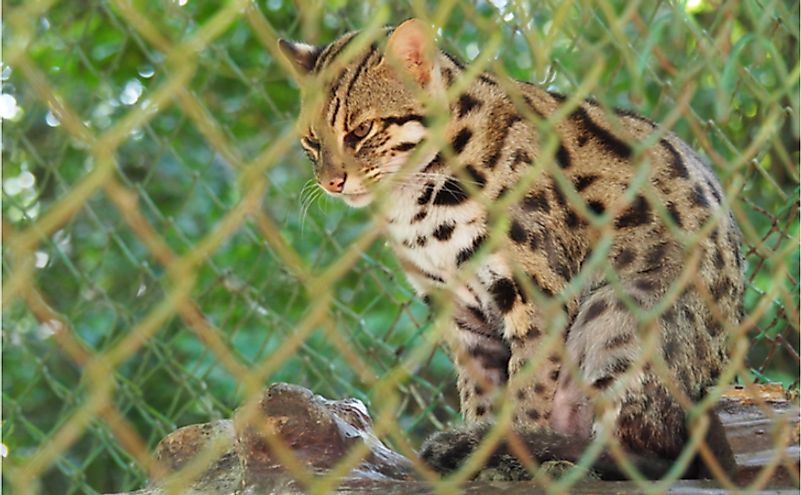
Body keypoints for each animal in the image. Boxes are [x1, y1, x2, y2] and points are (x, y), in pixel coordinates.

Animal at [280, 20, 744, 480]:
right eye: (311, 142)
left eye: (361, 130)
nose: (331, 182)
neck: (416, 209)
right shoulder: (457, 312)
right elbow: (480, 393)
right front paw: (480, 449)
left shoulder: (540, 293)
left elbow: (528, 390)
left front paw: (510, 450)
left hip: (622, 310)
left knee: (647, 456)